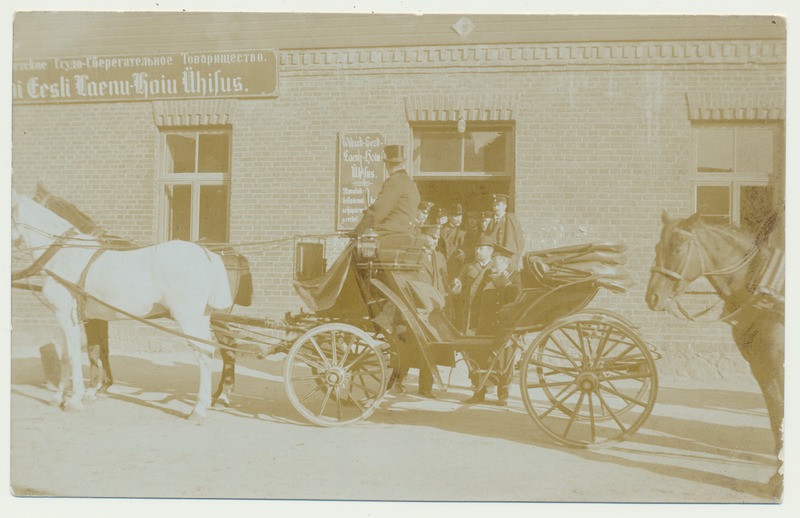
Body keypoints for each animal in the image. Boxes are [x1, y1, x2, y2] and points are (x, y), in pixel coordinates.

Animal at [10, 189, 233, 424]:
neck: (63, 254)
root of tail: (205, 252)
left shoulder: (68, 317)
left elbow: (75, 355)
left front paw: (75, 400)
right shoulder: (67, 318)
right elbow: (67, 356)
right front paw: (58, 397)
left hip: (188, 318)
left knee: (205, 355)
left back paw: (200, 408)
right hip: (202, 317)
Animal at [648, 212, 784, 500]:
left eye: (676, 249)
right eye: (656, 247)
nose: (652, 297)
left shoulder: (776, 367)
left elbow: (780, 414)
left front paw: (780, 482)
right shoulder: (762, 369)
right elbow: (775, 417)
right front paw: (776, 480)